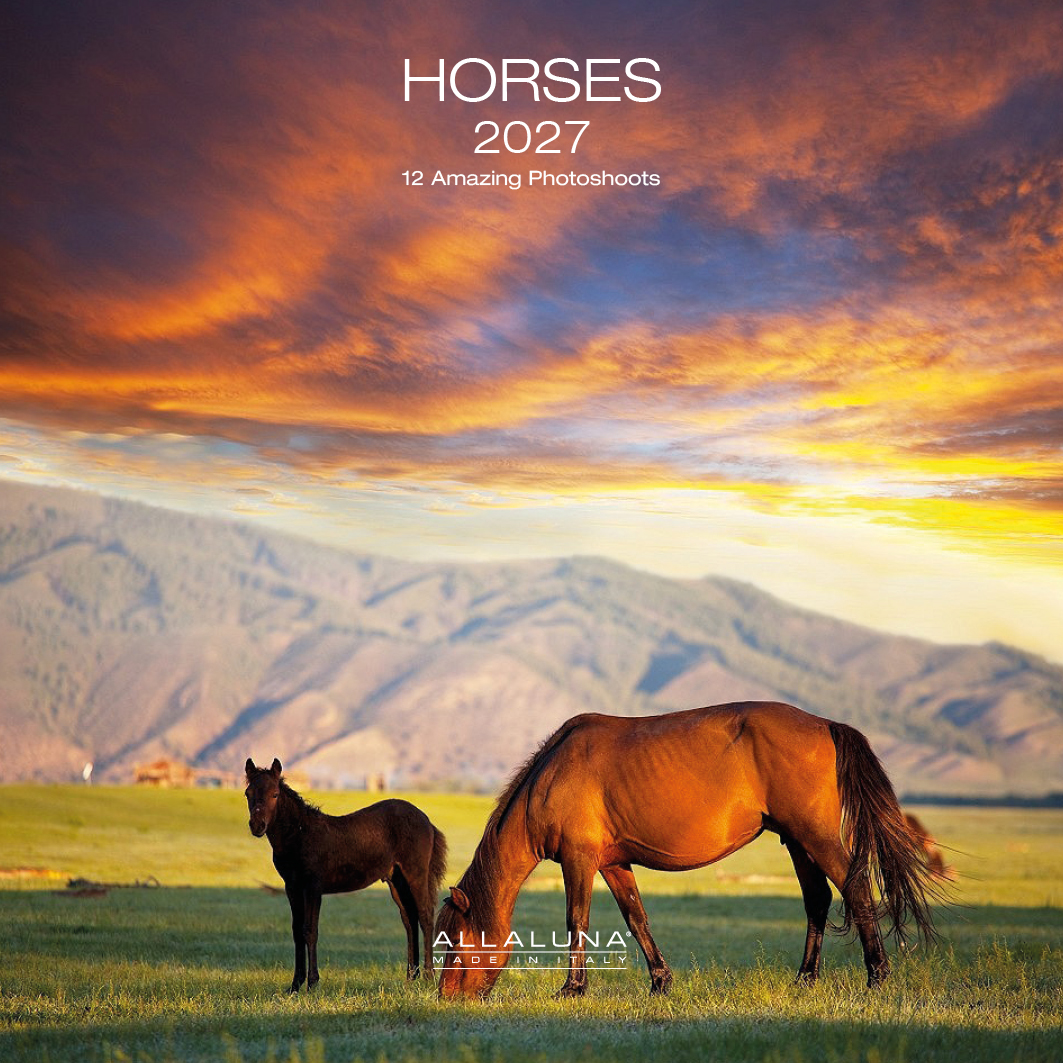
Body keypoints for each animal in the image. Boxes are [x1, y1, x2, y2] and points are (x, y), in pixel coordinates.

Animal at [244, 758, 447, 992]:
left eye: (275, 794)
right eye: (248, 793)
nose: (257, 826)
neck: (300, 834)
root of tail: (426, 820)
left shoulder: (313, 887)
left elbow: (310, 930)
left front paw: (312, 983)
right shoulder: (292, 887)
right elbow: (297, 931)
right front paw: (295, 985)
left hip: (416, 874)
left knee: (425, 915)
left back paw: (429, 976)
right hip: (396, 880)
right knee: (409, 919)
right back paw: (410, 977)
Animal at [435, 702, 941, 1000]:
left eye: (455, 943)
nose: (446, 996)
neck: (551, 777)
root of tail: (827, 725)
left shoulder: (579, 861)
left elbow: (576, 920)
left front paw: (573, 988)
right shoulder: (614, 864)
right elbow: (636, 919)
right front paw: (660, 982)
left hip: (814, 836)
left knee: (856, 889)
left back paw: (878, 974)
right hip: (798, 841)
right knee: (817, 900)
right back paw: (805, 978)